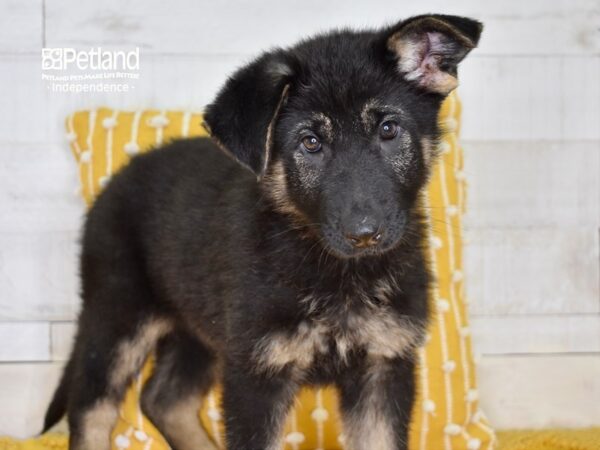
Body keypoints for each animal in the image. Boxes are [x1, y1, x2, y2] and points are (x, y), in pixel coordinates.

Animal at [43, 13, 482, 450]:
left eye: (389, 129)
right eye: (310, 142)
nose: (364, 234)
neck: (335, 273)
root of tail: (121, 175)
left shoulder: (383, 365)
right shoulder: (256, 375)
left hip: (196, 327)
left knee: (165, 399)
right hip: (117, 314)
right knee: (92, 408)